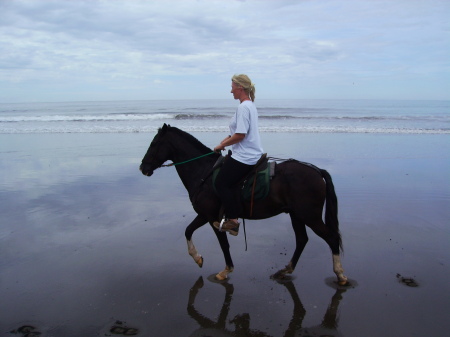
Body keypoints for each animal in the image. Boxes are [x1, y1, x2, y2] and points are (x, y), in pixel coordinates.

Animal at [141, 123, 348, 284]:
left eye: (154, 143)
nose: (143, 167)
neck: (204, 172)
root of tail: (317, 171)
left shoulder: (212, 218)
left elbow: (223, 245)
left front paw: (225, 271)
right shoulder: (204, 215)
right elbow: (188, 230)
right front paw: (197, 258)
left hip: (309, 216)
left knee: (331, 238)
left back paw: (340, 275)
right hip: (296, 215)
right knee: (302, 240)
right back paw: (285, 271)